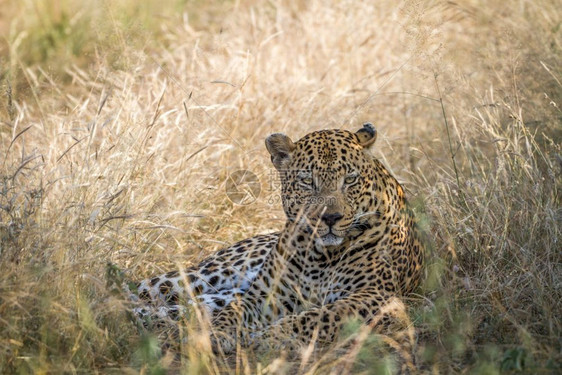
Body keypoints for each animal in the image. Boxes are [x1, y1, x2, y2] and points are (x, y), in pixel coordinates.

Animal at [127, 124, 422, 374]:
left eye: (350, 180)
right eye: (307, 181)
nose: (329, 218)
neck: (323, 256)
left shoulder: (379, 297)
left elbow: (319, 316)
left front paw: (270, 336)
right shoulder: (264, 294)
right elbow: (234, 312)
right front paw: (216, 334)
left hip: (209, 295)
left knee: (174, 308)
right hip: (205, 274)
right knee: (139, 288)